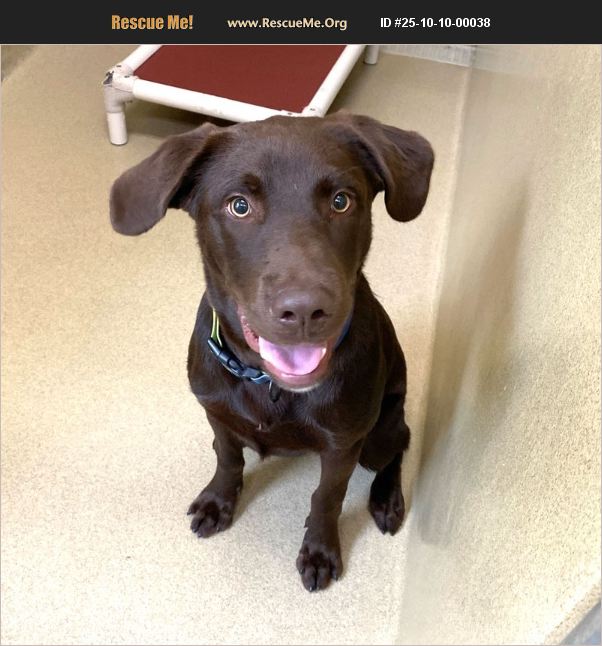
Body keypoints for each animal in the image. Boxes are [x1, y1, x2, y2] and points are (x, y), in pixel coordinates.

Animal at [110, 112, 434, 591]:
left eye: (342, 201)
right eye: (239, 206)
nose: (304, 310)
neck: (269, 385)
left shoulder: (342, 445)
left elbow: (327, 496)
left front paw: (319, 549)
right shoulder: (216, 413)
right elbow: (227, 458)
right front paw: (218, 501)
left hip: (377, 433)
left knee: (400, 445)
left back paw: (387, 499)